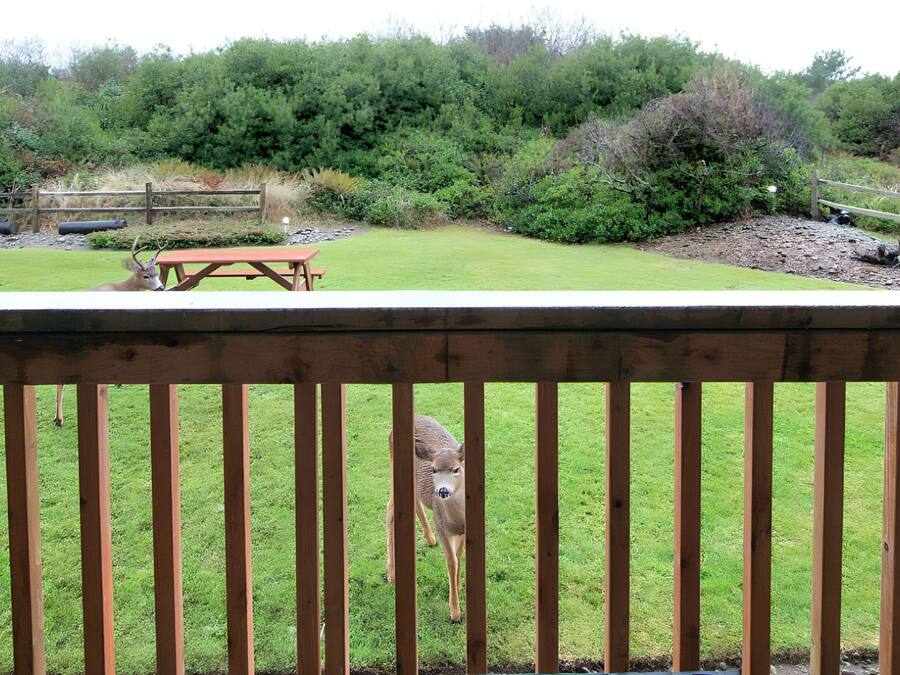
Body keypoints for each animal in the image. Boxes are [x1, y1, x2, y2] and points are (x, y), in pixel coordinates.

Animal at [53, 237, 166, 426]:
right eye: (146, 276)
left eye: (156, 273)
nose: (161, 288)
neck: (123, 289)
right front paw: (119, 382)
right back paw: (59, 419)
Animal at [386, 415, 466, 623]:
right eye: (433, 469)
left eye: (456, 469)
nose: (442, 491)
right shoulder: (441, 525)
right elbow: (451, 562)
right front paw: (455, 613)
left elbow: (459, 556)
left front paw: (459, 586)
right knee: (390, 508)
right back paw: (391, 574)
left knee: (414, 500)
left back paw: (430, 540)